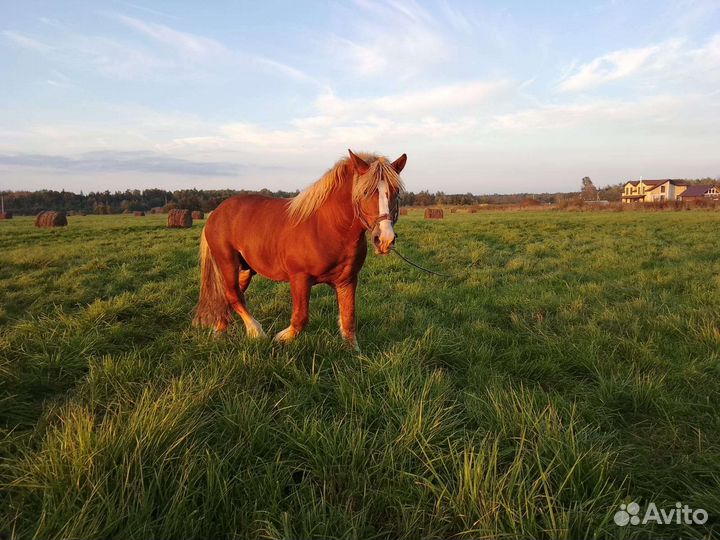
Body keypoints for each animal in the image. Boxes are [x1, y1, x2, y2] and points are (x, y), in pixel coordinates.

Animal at [193, 149, 407, 349]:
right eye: (365, 192)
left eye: (395, 191)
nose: (385, 239)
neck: (326, 228)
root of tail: (216, 212)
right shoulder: (300, 278)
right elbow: (301, 318)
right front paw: (280, 338)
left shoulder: (347, 281)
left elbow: (348, 319)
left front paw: (353, 351)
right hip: (227, 262)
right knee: (234, 295)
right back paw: (256, 332)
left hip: (245, 268)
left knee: (229, 297)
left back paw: (219, 332)